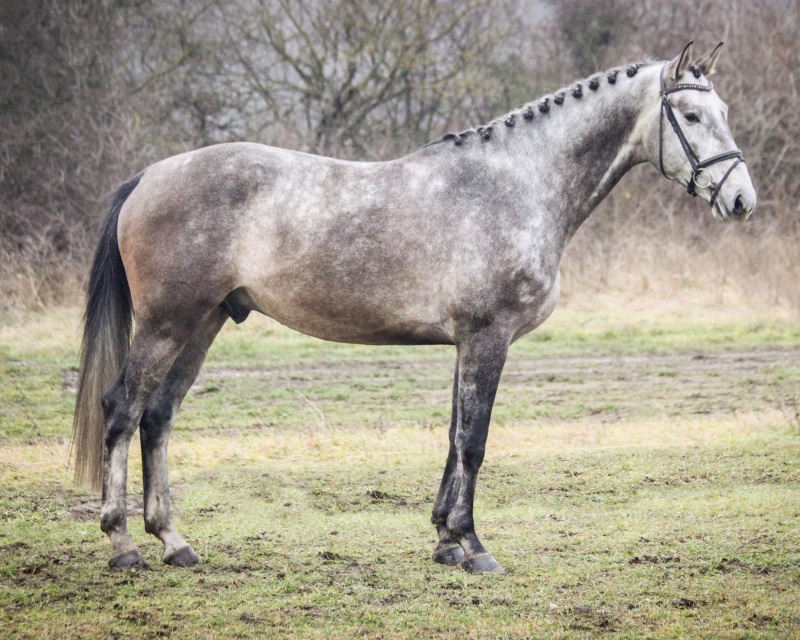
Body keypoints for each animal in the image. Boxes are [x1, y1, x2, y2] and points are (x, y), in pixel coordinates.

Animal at [72, 42, 755, 573]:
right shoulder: (487, 337)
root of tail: (149, 177)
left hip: (204, 322)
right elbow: (474, 441)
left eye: (723, 111)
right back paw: (124, 544)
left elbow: (454, 438)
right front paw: (474, 547)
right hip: (167, 325)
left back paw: (174, 542)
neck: (516, 184)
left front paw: (445, 540)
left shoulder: (467, 343)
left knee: (159, 417)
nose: (742, 200)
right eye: (690, 114)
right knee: (123, 410)